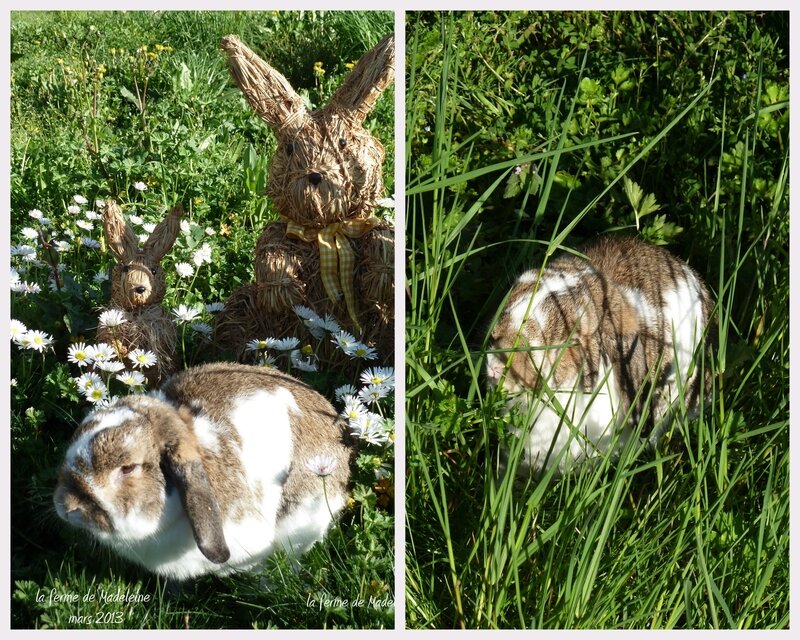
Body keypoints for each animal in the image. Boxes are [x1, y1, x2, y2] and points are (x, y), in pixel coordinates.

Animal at [97, 200, 183, 382]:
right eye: (126, 268)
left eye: (154, 271)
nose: (140, 288)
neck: (137, 312)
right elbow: (108, 338)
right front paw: (121, 350)